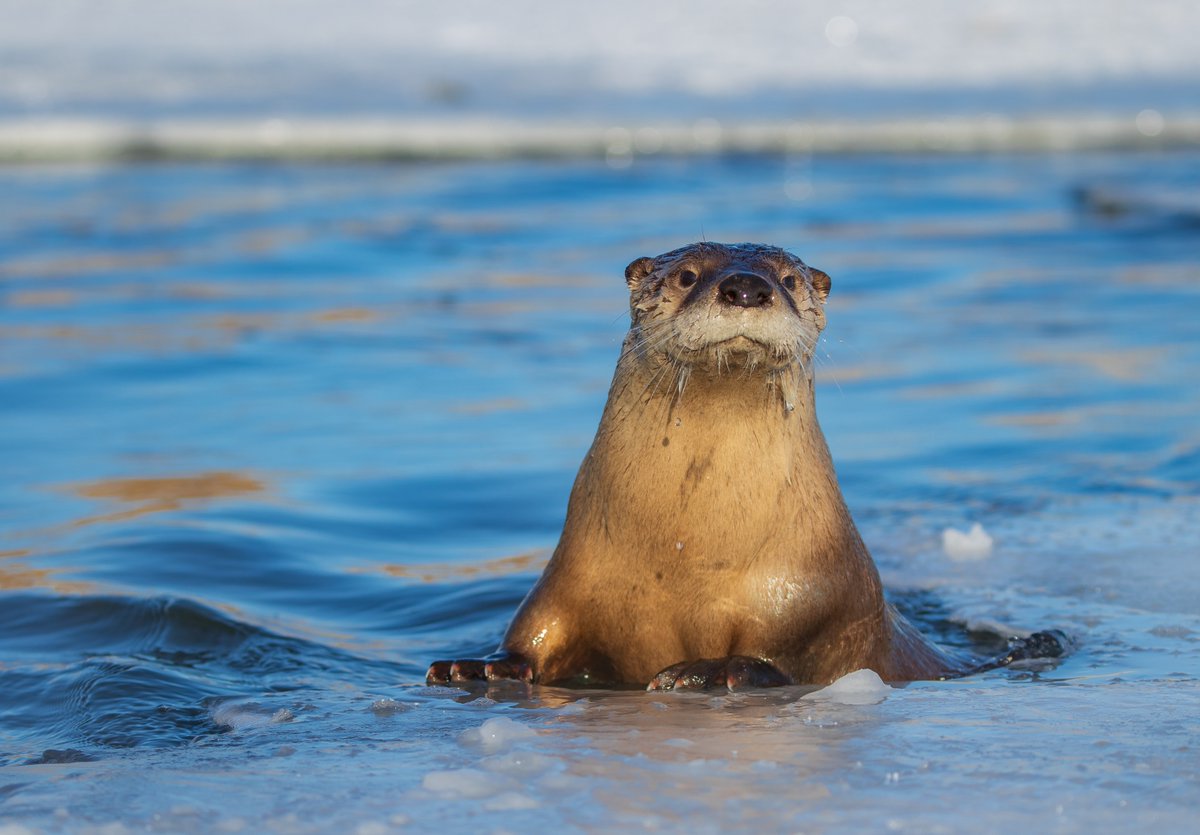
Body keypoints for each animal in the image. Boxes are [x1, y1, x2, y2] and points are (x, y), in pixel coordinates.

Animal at [427, 243, 1064, 691]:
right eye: (687, 275)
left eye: (789, 279)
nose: (745, 286)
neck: (688, 550)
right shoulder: (571, 574)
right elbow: (537, 629)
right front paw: (482, 666)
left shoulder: (808, 584)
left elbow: (784, 647)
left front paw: (706, 670)